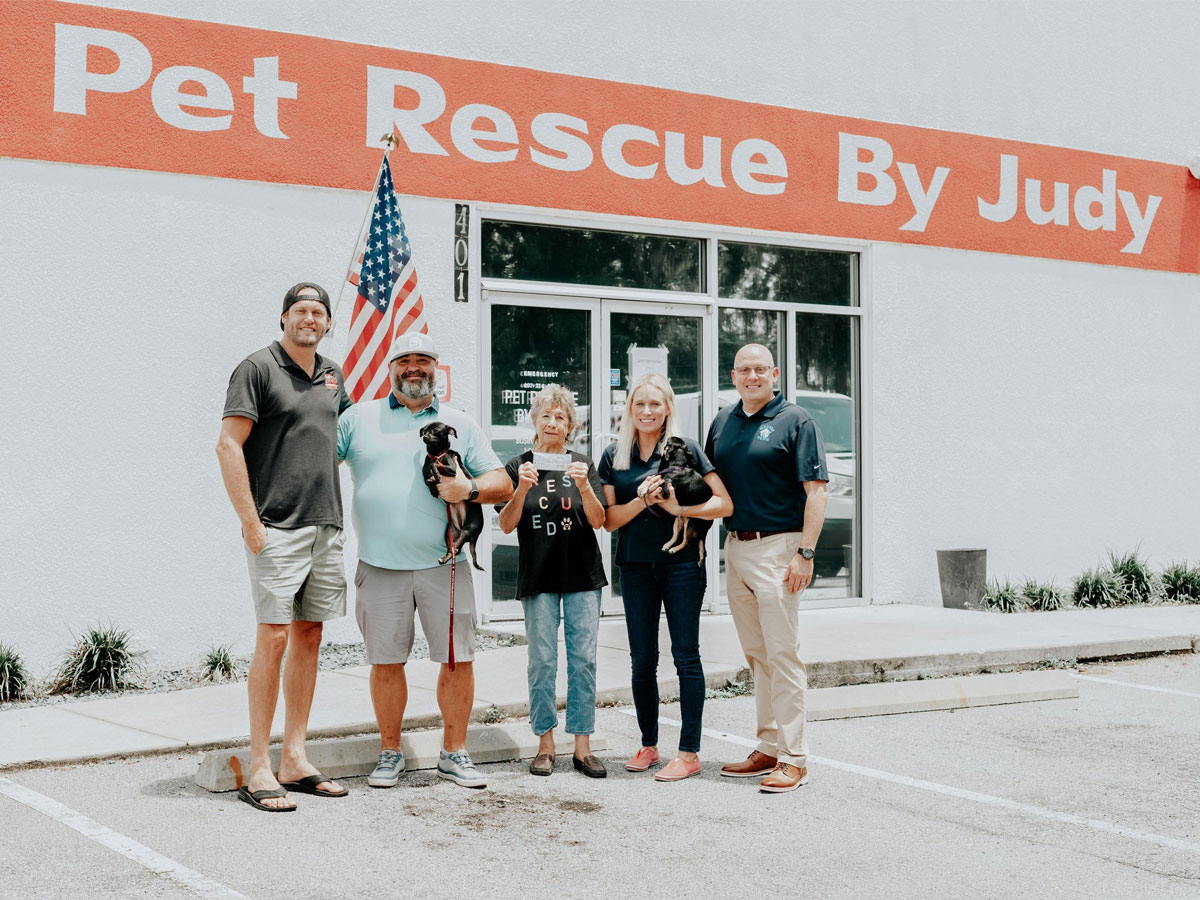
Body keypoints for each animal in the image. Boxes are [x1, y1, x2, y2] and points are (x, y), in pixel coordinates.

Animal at [417, 424, 482, 571]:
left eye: (435, 431)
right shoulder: (425, 473)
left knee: (456, 549)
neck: (436, 454)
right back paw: (444, 558)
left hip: (468, 529)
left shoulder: (452, 469)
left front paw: (435, 474)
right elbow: (427, 478)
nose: (425, 436)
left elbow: (435, 465)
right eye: (424, 430)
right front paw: (433, 488)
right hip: (449, 532)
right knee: (453, 550)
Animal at [657, 436, 710, 564]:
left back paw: (674, 549)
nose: (662, 438)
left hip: (690, 525)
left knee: (687, 542)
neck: (678, 466)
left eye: (667, 443)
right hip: (678, 521)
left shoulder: (664, 492)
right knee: (676, 536)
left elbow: (659, 483)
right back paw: (668, 545)